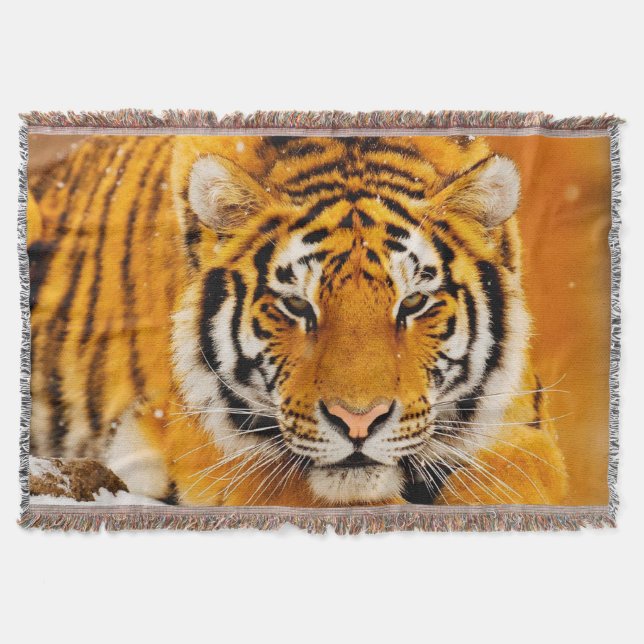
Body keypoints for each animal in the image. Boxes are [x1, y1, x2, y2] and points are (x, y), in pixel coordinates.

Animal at [27, 133, 568, 507]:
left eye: (413, 303)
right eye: (298, 306)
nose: (359, 422)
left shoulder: (521, 424)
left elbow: (518, 481)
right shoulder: (203, 436)